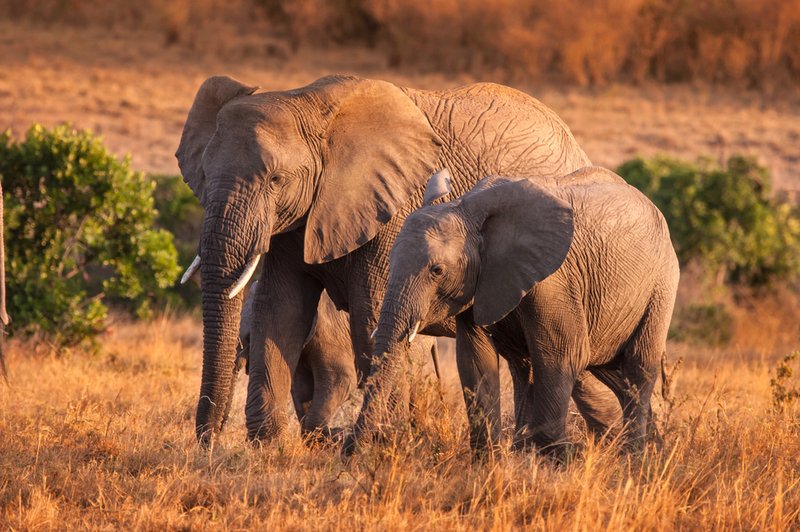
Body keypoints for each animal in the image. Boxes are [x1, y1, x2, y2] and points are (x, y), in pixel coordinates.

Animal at [178, 75, 620, 446]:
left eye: (276, 180)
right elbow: (280, 312)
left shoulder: (393, 206)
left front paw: (381, 445)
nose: (209, 443)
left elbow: (370, 319)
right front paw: (267, 450)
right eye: (203, 175)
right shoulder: (297, 219)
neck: (306, 100)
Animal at [354, 168, 680, 456]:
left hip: (662, 282)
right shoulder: (480, 282)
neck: (466, 208)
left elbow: (562, 354)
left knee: (638, 365)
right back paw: (652, 449)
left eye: (437, 270)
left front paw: (557, 460)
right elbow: (475, 360)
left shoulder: (555, 282)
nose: (350, 451)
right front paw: (489, 462)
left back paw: (635, 457)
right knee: (605, 373)